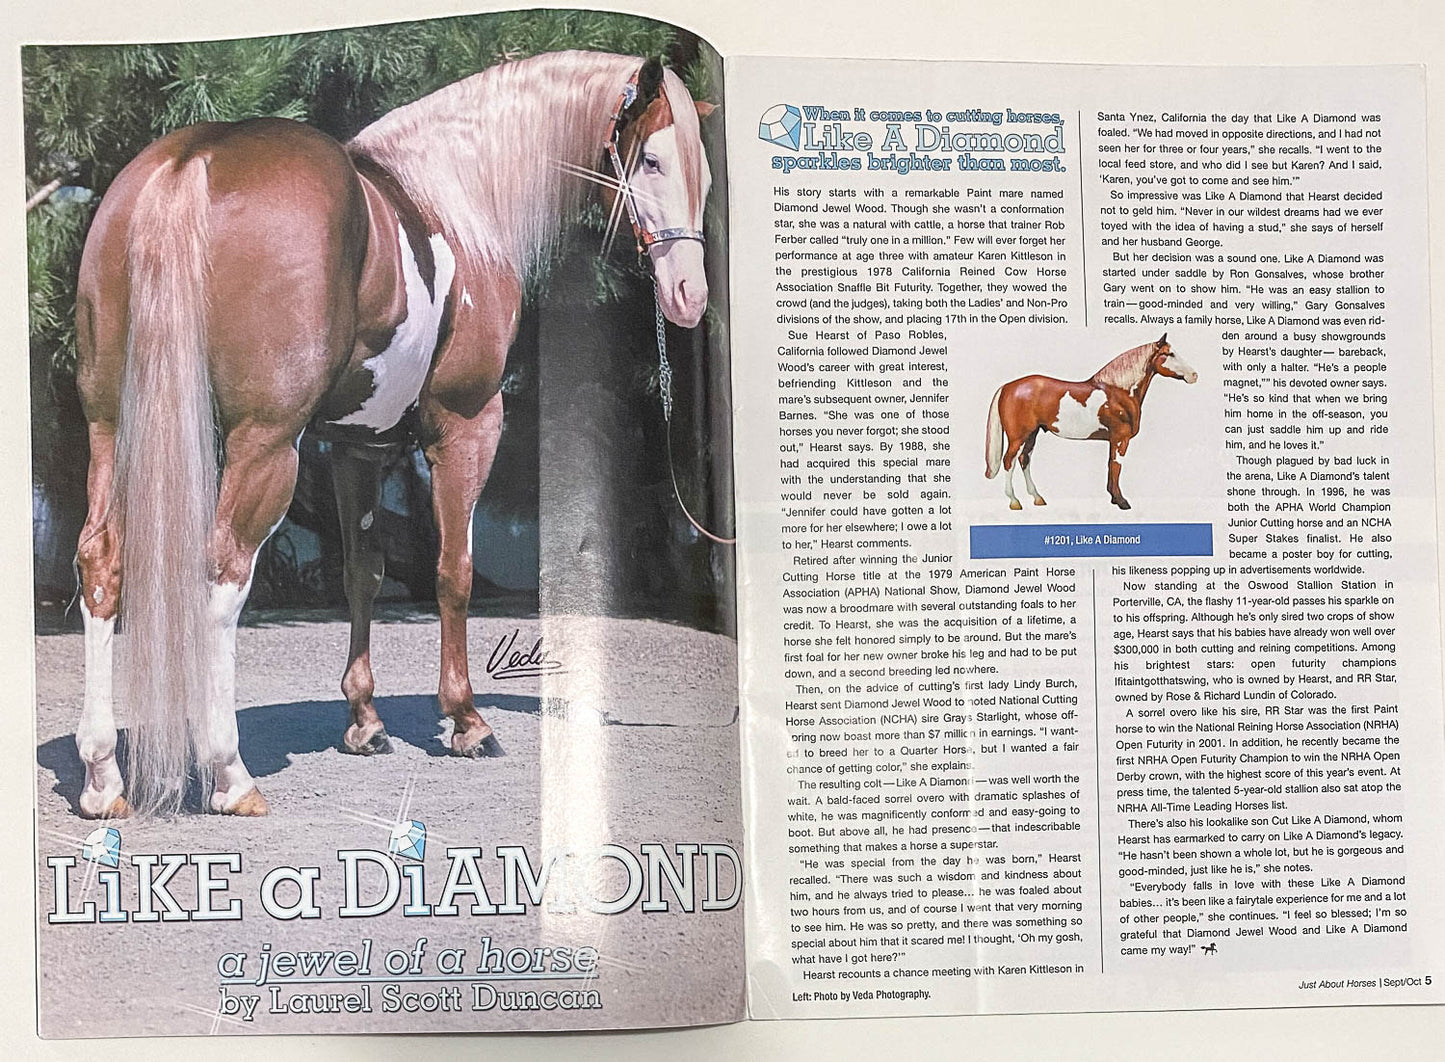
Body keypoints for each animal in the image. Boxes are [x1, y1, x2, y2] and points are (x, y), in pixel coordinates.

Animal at [69, 51, 715, 817]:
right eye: (651, 158)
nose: (689, 297)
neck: (461, 200)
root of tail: (194, 158)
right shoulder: (468, 429)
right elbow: (452, 573)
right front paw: (466, 721)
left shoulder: (357, 448)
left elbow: (364, 573)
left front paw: (365, 722)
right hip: (265, 445)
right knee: (222, 569)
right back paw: (230, 774)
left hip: (111, 425)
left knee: (101, 561)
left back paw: (102, 776)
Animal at [984, 334, 1197, 511]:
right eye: (1169, 354)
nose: (1194, 375)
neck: (1119, 392)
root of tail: (1007, 387)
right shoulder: (1121, 439)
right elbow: (1116, 467)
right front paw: (1122, 502)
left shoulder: (1114, 440)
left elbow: (1111, 466)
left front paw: (1113, 498)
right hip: (1018, 437)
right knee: (1009, 461)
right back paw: (1014, 502)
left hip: (1032, 434)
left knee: (1024, 460)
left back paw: (1037, 498)